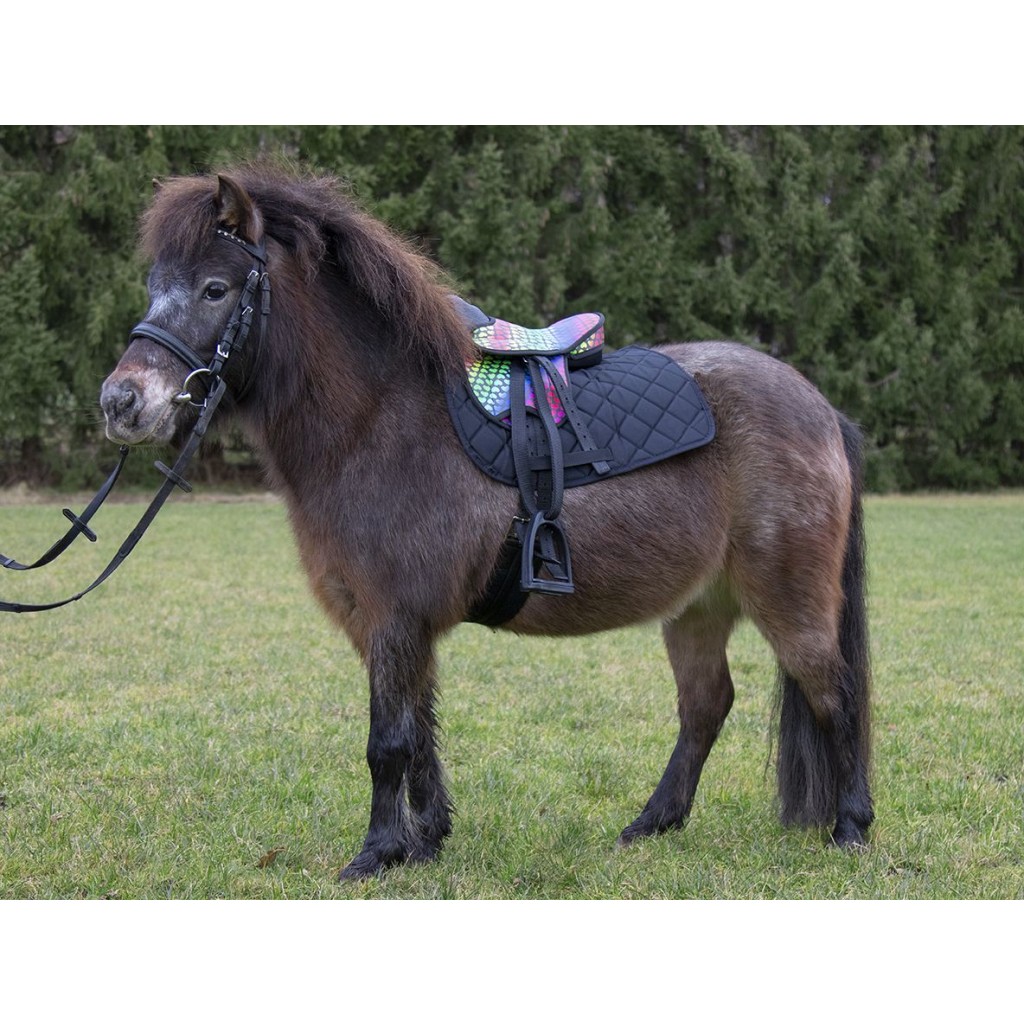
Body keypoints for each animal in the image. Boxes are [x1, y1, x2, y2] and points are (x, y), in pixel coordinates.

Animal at [100, 164, 873, 880]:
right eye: (154, 285)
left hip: (790, 602)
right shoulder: (389, 625)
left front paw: (375, 855)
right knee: (707, 705)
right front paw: (425, 842)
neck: (378, 423)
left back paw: (851, 829)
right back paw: (652, 824)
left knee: (834, 693)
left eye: (214, 289)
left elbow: (387, 742)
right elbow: (420, 733)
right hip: (699, 606)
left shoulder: (394, 618)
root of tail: (818, 407)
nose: (121, 402)